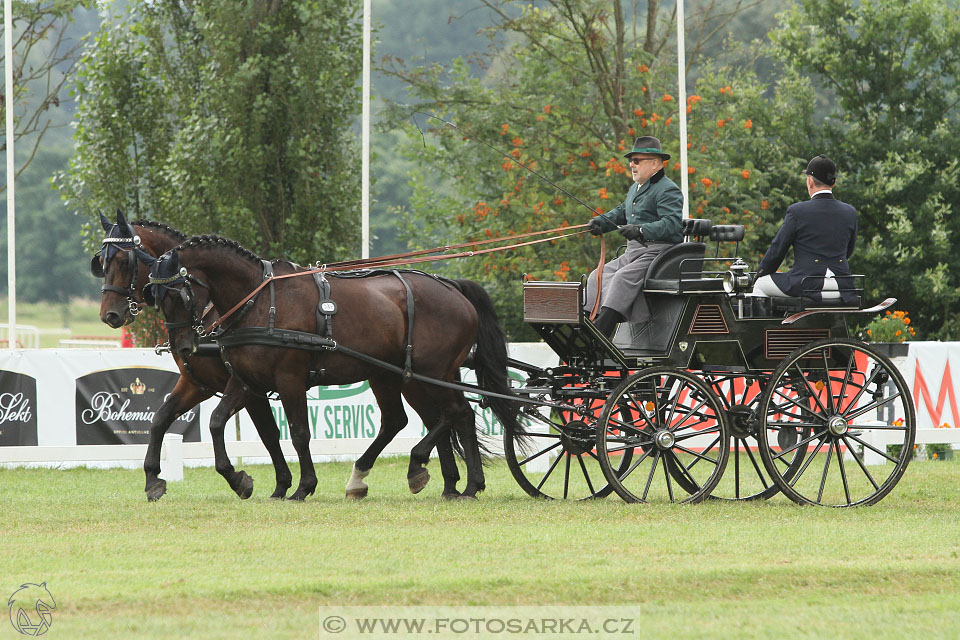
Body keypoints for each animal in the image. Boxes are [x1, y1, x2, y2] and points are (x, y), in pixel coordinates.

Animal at [95, 210, 294, 500]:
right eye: (100, 261)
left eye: (123, 261)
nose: (109, 315)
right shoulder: (198, 383)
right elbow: (160, 419)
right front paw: (153, 479)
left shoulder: (247, 385)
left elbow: (266, 432)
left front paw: (255, 481)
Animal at [147, 234, 524, 500]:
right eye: (157, 297)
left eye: (179, 294)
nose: (183, 347)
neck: (259, 302)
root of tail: (453, 286)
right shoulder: (245, 381)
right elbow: (216, 422)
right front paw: (241, 479)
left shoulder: (289, 378)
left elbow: (298, 432)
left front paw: (302, 487)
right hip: (403, 376)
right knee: (434, 417)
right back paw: (455, 484)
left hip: (427, 373)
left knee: (452, 413)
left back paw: (426, 468)